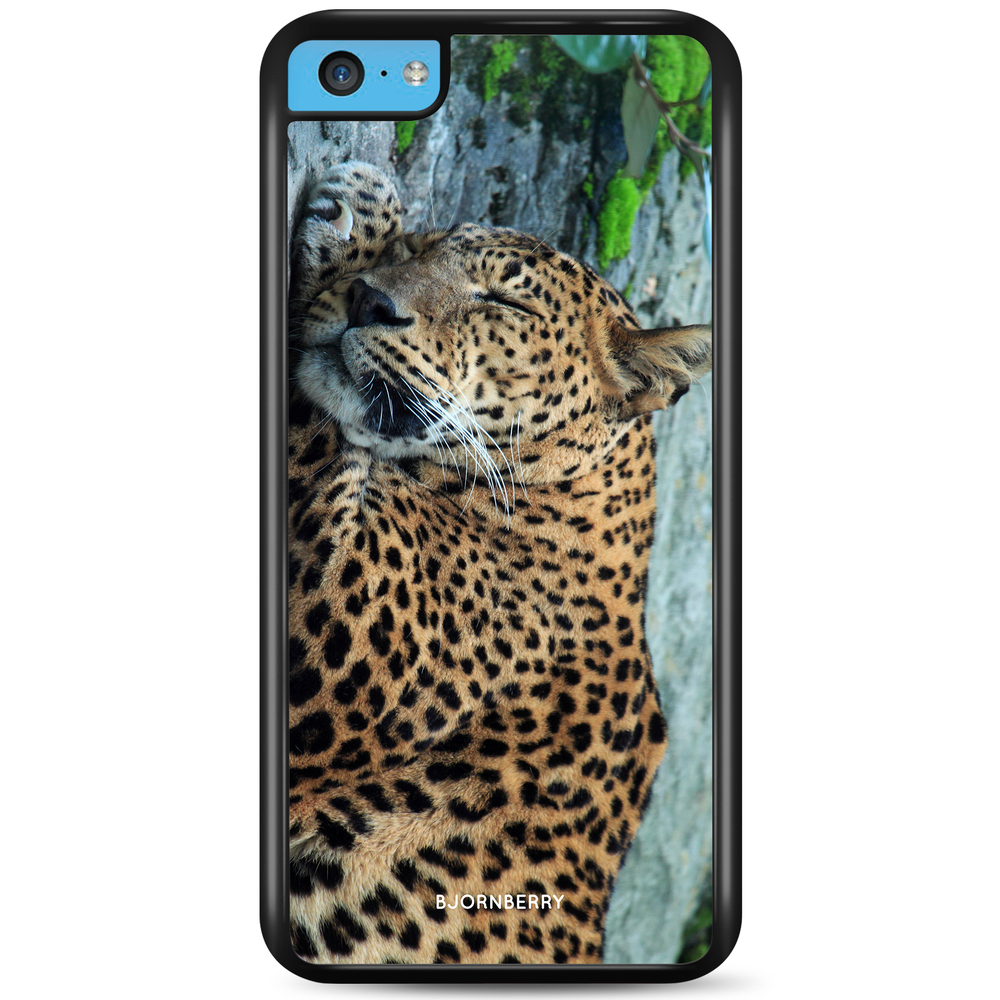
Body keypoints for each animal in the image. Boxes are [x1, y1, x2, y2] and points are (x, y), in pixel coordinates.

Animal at [286, 162, 711, 965]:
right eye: (425, 247)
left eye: (504, 301)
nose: (369, 300)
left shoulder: (340, 616)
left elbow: (314, 428)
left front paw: (357, 207)